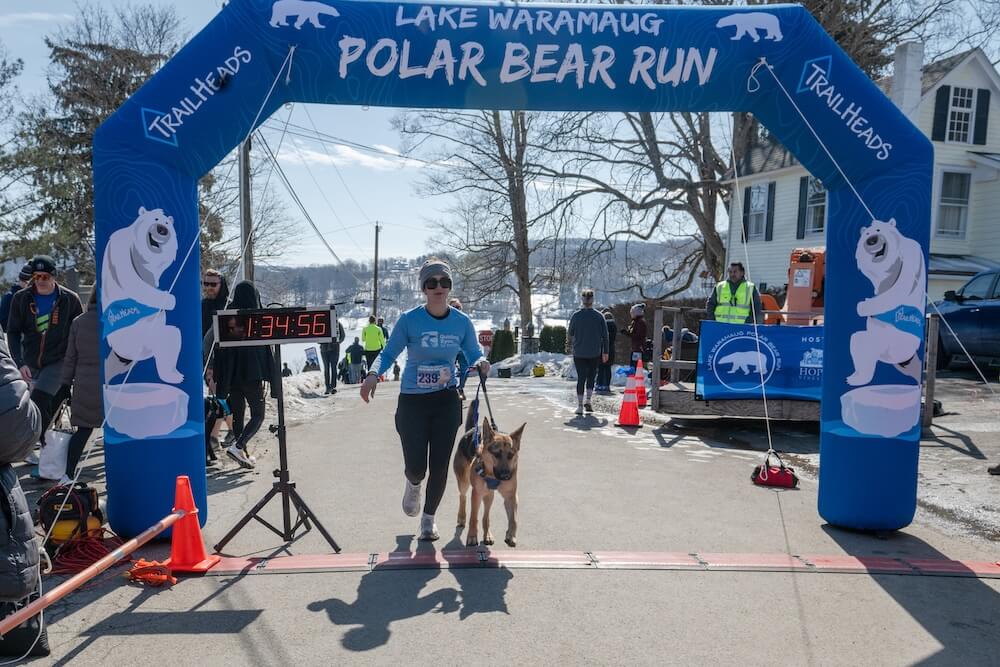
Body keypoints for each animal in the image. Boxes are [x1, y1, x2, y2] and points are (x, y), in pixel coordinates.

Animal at [456, 402, 528, 548]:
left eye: (511, 455)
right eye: (496, 454)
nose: (506, 476)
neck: (493, 475)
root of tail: (472, 429)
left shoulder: (511, 496)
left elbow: (513, 519)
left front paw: (511, 535)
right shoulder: (476, 494)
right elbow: (473, 517)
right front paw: (472, 536)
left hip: (489, 495)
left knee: (486, 517)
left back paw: (487, 535)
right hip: (464, 482)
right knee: (462, 496)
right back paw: (461, 516)